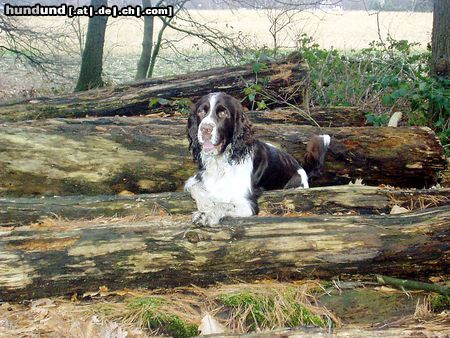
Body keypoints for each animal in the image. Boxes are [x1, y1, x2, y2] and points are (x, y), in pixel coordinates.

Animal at [185, 92, 328, 227]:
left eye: (223, 113)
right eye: (201, 112)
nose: (205, 129)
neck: (220, 163)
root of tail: (299, 166)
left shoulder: (247, 204)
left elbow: (223, 204)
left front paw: (206, 215)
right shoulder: (196, 178)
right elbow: (196, 188)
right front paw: (206, 205)